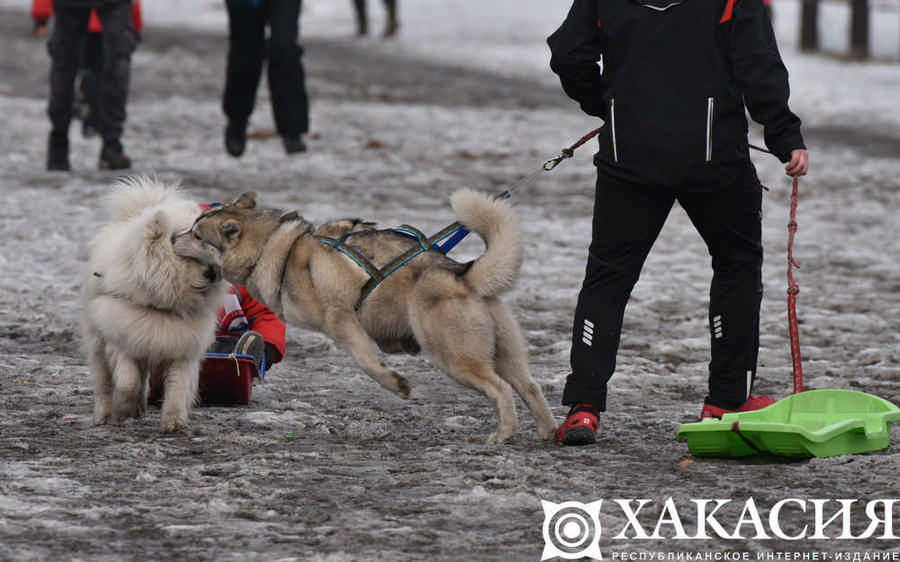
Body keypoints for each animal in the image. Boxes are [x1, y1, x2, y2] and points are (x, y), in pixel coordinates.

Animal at [83, 177, 225, 430]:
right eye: (184, 251)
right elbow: (128, 383)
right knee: (104, 384)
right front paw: (122, 412)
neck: (162, 303)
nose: (213, 273)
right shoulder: (124, 340)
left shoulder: (182, 348)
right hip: (97, 343)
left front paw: (174, 422)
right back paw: (104, 416)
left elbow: (178, 389)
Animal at [192, 188, 556, 442]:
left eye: (196, 235)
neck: (272, 247)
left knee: (501, 389)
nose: (177, 235)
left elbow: (369, 363)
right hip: (506, 354)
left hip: (456, 359)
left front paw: (397, 384)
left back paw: (504, 433)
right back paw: (548, 431)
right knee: (530, 386)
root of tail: (462, 273)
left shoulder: (341, 320)